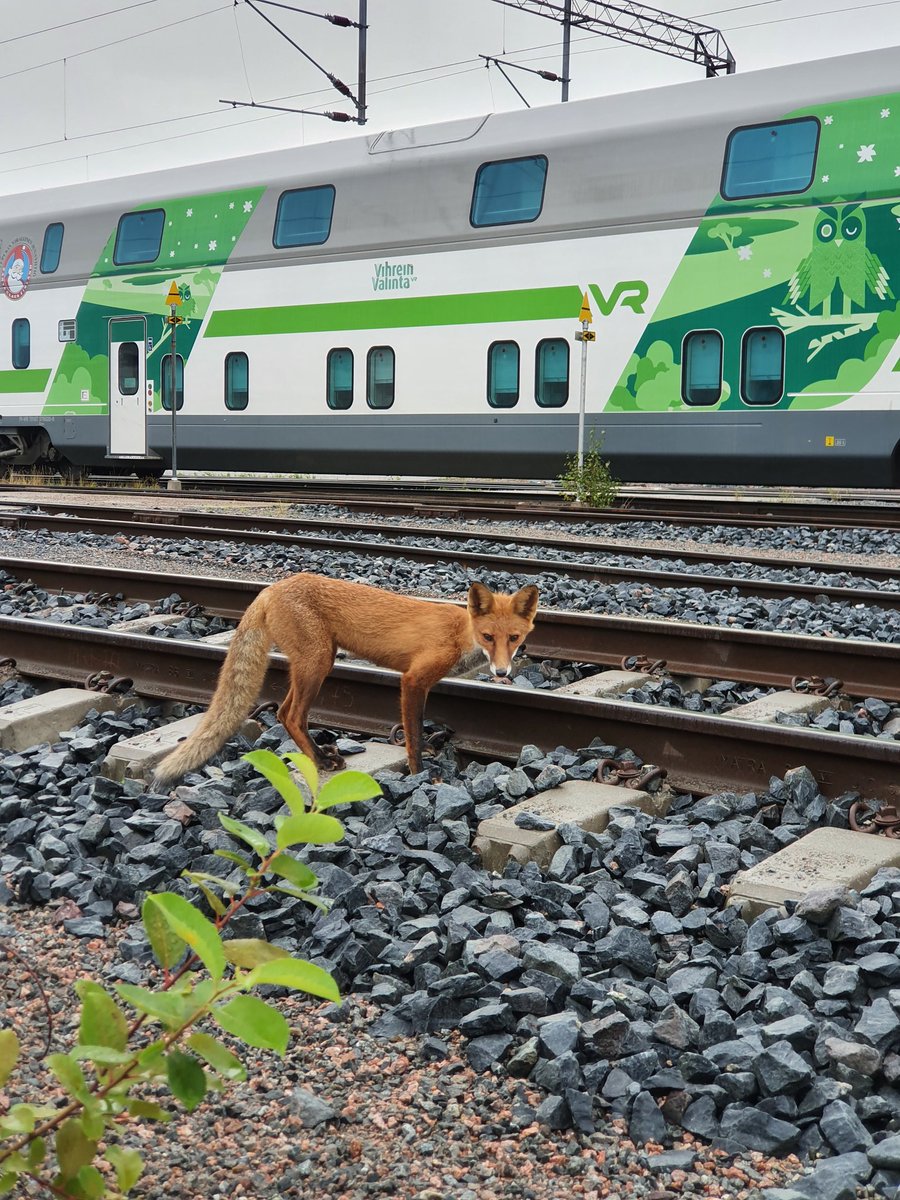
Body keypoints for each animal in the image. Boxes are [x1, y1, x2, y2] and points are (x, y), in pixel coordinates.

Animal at [151, 572, 540, 787]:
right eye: (488, 637)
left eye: (514, 638)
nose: (502, 673)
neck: (460, 635)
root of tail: (272, 588)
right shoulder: (413, 680)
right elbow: (413, 736)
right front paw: (420, 775)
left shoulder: (423, 684)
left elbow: (419, 728)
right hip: (318, 663)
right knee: (290, 715)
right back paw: (322, 761)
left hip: (311, 665)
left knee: (283, 713)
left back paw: (320, 756)